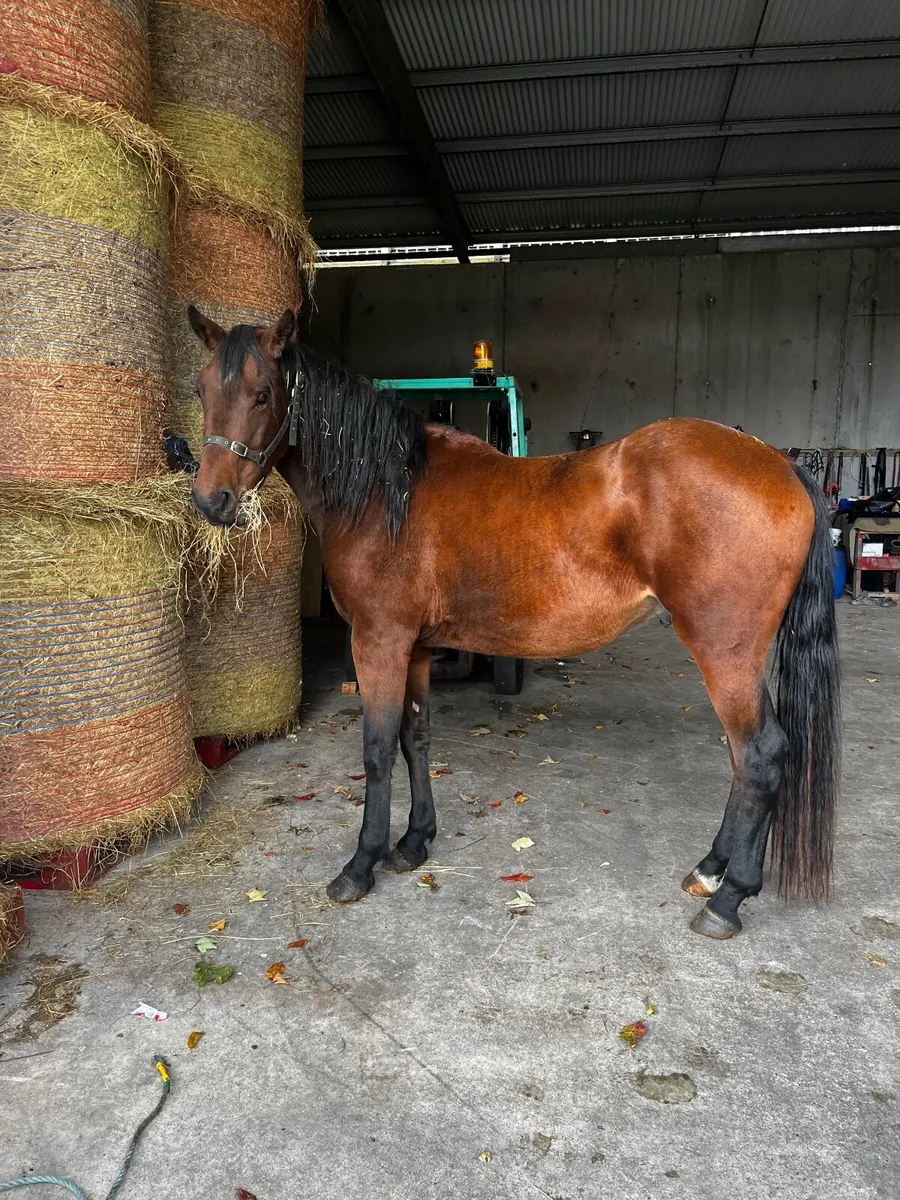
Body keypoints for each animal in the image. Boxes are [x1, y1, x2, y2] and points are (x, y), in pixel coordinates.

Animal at [186, 305, 840, 941]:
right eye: (200, 390)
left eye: (264, 393)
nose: (211, 501)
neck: (387, 493)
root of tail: (779, 464)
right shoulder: (416, 648)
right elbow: (415, 739)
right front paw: (414, 842)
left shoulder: (378, 640)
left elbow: (375, 749)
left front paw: (360, 864)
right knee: (746, 758)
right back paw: (710, 871)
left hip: (724, 652)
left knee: (759, 756)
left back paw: (728, 899)